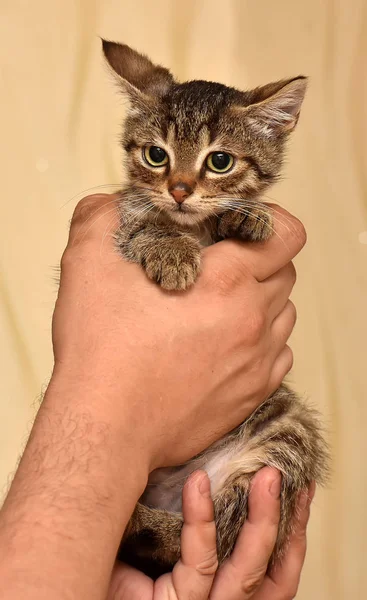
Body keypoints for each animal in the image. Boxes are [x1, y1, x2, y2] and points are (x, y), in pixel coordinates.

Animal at [102, 39, 330, 580]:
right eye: (156, 155)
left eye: (220, 161)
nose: (180, 189)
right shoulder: (122, 225)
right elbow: (144, 223)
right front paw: (171, 251)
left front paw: (248, 218)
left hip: (286, 433)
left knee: (220, 530)